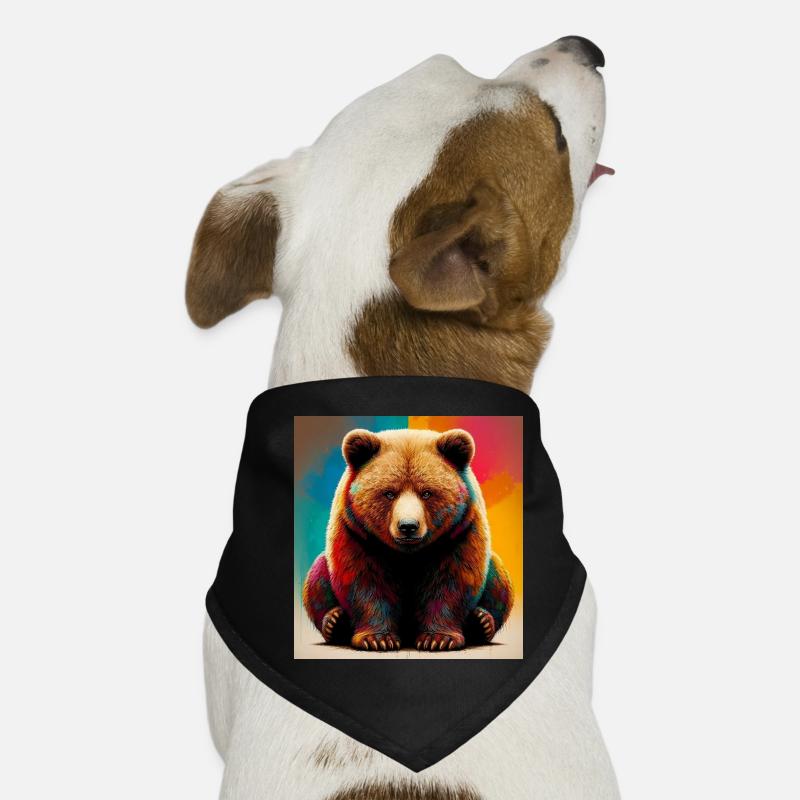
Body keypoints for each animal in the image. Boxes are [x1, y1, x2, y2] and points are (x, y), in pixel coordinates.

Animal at [302, 427, 513, 651]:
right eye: (389, 493)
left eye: (427, 492)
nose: (408, 526)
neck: (408, 554)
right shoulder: (357, 533)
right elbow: (364, 580)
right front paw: (377, 638)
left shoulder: (459, 532)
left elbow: (452, 580)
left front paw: (438, 638)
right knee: (317, 575)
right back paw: (334, 622)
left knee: (498, 578)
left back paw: (482, 622)